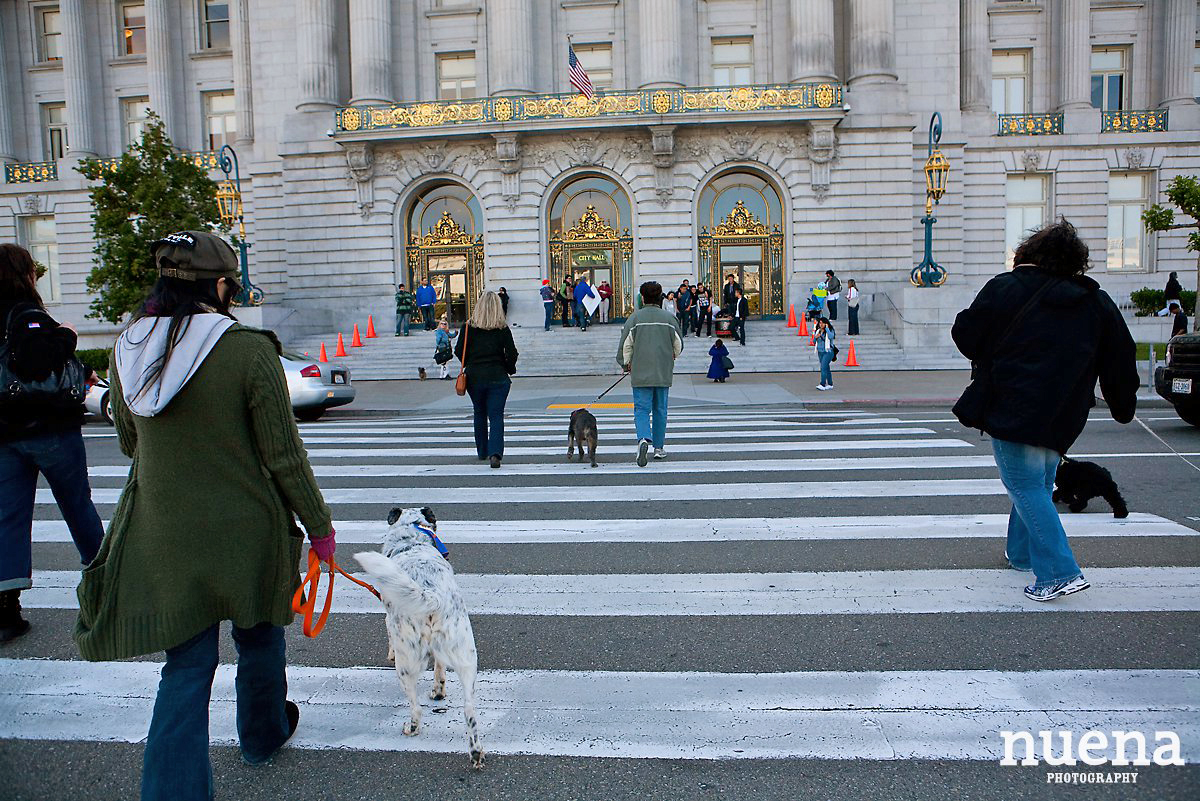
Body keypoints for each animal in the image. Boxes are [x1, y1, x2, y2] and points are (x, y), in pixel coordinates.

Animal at [352, 506, 484, 767]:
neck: (412, 538)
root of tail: (432, 595)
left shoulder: (388, 617)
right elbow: (440, 669)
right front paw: (439, 691)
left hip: (407, 663)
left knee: (416, 707)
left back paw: (412, 728)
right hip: (466, 656)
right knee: (469, 710)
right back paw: (475, 752)